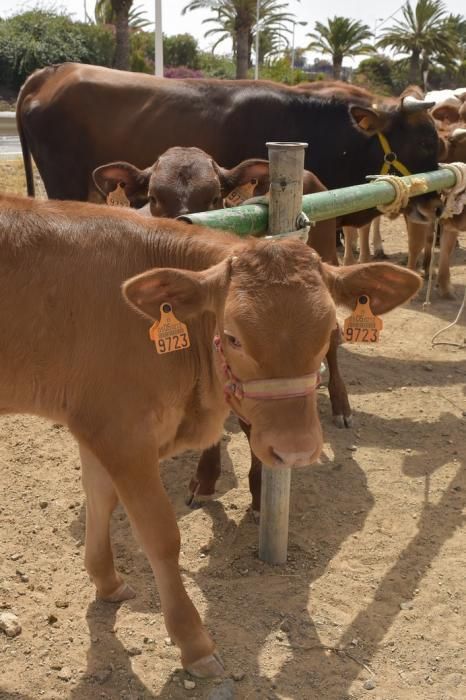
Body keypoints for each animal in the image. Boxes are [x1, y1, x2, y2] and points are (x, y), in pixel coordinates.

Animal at [0, 194, 422, 676]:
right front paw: (194, 642)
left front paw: (106, 580)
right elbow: (161, 536)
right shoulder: (119, 431)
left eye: (329, 329)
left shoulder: (95, 421)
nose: (295, 449)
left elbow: (100, 498)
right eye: (234, 337)